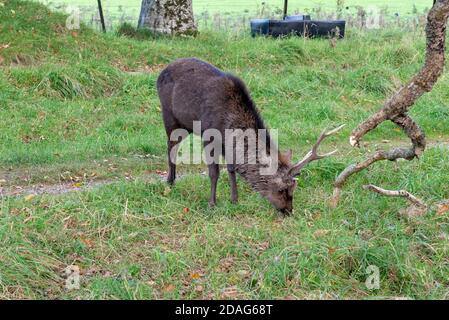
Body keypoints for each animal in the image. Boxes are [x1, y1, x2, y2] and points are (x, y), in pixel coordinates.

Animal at [156, 58, 342, 215]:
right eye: (281, 189)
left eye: (293, 190)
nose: (288, 211)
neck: (228, 122)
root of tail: (161, 73)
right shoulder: (209, 136)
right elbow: (214, 172)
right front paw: (212, 204)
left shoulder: (227, 144)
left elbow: (231, 168)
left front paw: (234, 200)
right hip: (169, 116)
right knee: (171, 147)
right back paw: (170, 182)